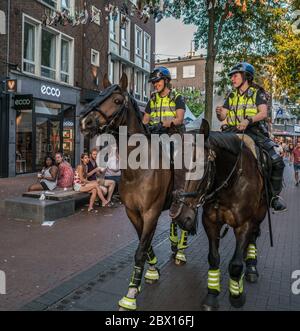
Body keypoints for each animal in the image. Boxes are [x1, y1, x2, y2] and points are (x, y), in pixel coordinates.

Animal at [80, 73, 192, 312]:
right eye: (100, 95)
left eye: (117, 100)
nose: (85, 122)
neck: (139, 168)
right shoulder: (132, 212)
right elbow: (144, 242)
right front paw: (151, 270)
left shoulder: (151, 212)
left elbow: (141, 249)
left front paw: (130, 294)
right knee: (175, 219)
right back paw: (174, 245)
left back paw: (180, 251)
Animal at [170, 120, 268, 312]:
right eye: (173, 164)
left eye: (200, 167)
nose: (181, 217)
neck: (230, 183)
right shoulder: (210, 222)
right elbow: (213, 258)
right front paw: (212, 296)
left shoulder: (245, 224)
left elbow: (235, 265)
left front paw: (237, 296)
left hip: (261, 213)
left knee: (253, 236)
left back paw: (251, 268)